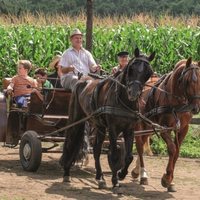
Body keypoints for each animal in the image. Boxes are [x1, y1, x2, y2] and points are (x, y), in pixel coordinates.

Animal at [59, 48, 155, 191]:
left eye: (148, 72)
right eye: (131, 69)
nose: (133, 93)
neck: (123, 100)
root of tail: (83, 78)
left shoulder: (129, 129)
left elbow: (129, 156)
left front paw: (121, 174)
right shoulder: (113, 128)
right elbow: (114, 154)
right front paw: (115, 181)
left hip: (99, 126)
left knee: (96, 150)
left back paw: (100, 178)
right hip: (77, 119)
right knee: (71, 141)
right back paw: (66, 172)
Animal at [131, 57, 200, 191]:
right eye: (187, 81)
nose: (195, 108)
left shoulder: (183, 128)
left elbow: (177, 152)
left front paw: (171, 181)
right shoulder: (164, 128)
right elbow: (172, 149)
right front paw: (166, 178)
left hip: (149, 125)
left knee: (144, 141)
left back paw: (137, 170)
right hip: (139, 124)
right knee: (140, 147)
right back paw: (142, 175)